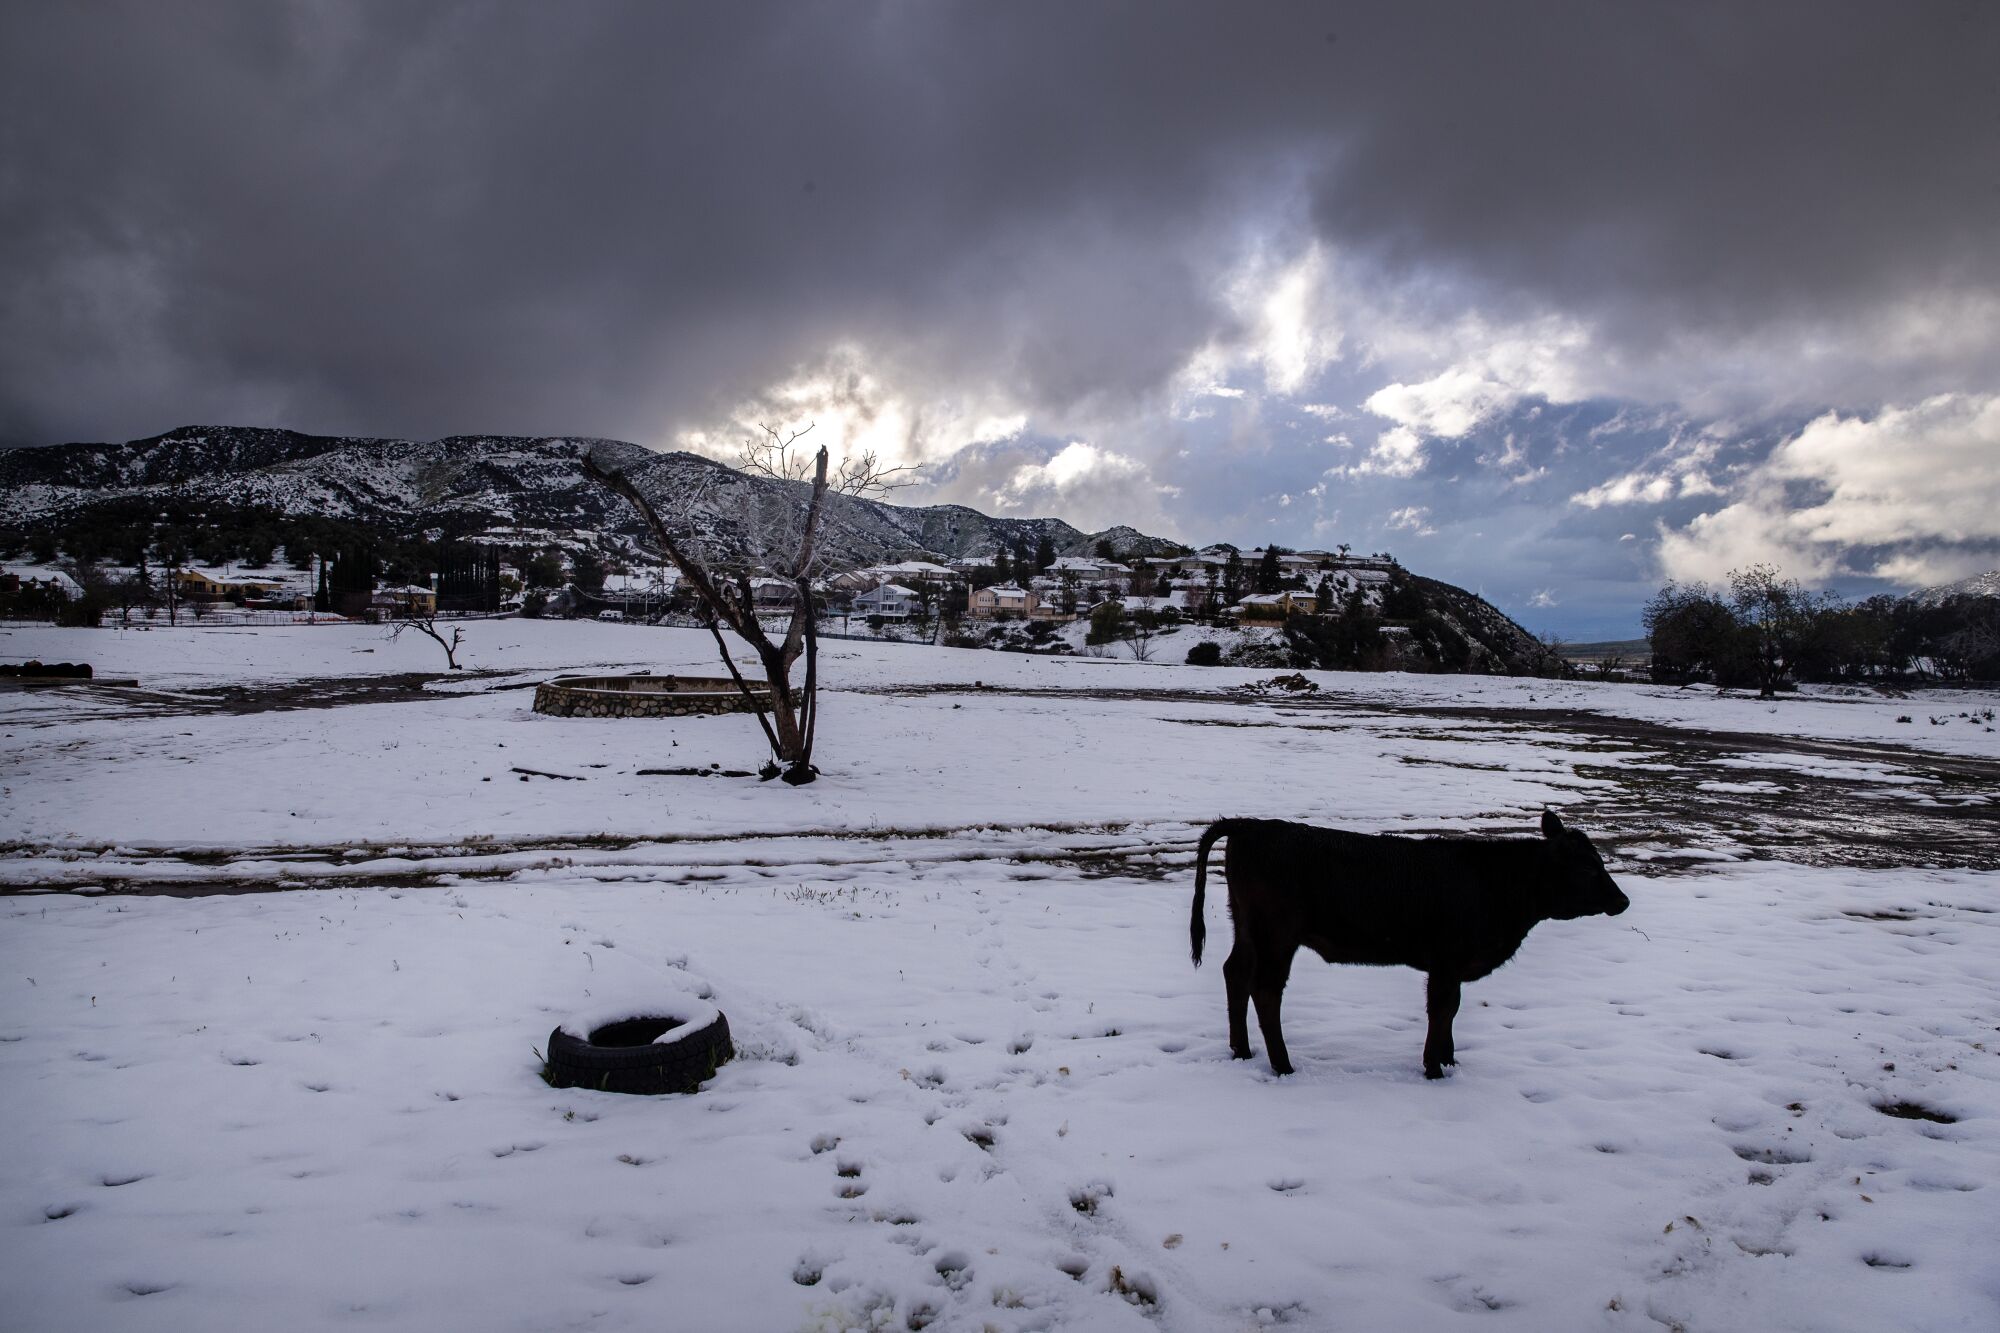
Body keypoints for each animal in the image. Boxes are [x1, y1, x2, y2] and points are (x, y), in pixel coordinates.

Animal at [1184, 804, 1624, 1072]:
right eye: (1588, 868)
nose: (1622, 900)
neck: (1497, 882)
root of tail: (1250, 825)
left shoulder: (1450, 966)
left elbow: (1451, 1012)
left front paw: (1449, 1062)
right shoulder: (1447, 961)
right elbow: (1442, 1009)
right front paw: (1434, 1068)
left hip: (1248, 929)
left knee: (1236, 974)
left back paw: (1241, 1051)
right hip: (1276, 935)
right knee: (1265, 990)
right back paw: (1283, 1065)